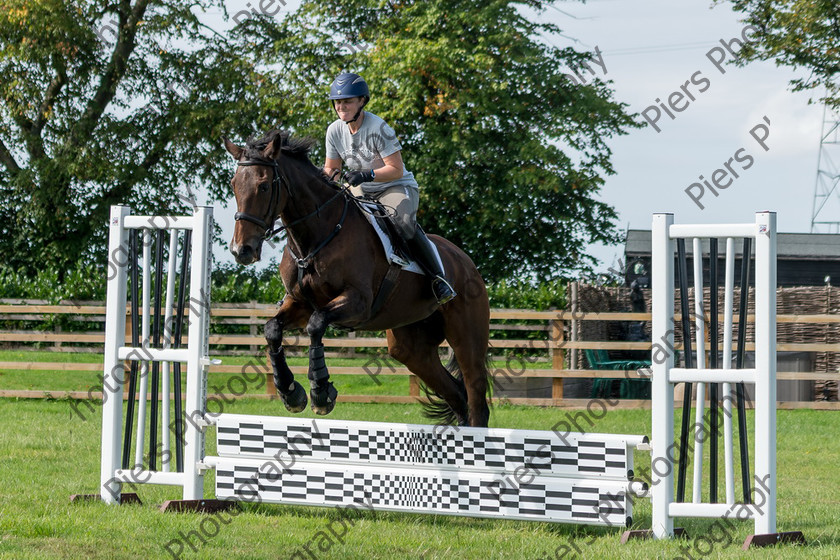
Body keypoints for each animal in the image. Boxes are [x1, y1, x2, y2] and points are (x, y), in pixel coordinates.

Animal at [225, 130, 492, 428]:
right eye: (234, 185)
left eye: (263, 186)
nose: (241, 250)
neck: (318, 235)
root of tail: (466, 261)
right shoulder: (299, 303)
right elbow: (272, 329)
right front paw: (291, 392)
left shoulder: (357, 302)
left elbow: (316, 325)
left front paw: (321, 393)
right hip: (411, 347)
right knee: (456, 394)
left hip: (466, 338)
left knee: (476, 397)